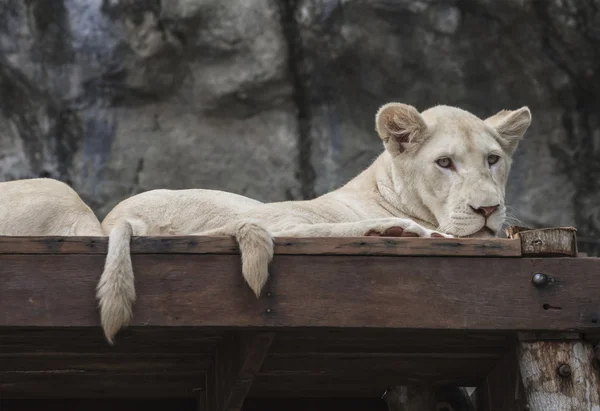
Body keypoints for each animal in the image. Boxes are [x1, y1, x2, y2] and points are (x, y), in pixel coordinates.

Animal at [97, 103, 528, 344]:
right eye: (444, 163)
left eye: (493, 160)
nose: (487, 209)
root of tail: (116, 218)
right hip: (250, 208)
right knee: (280, 230)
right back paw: (397, 229)